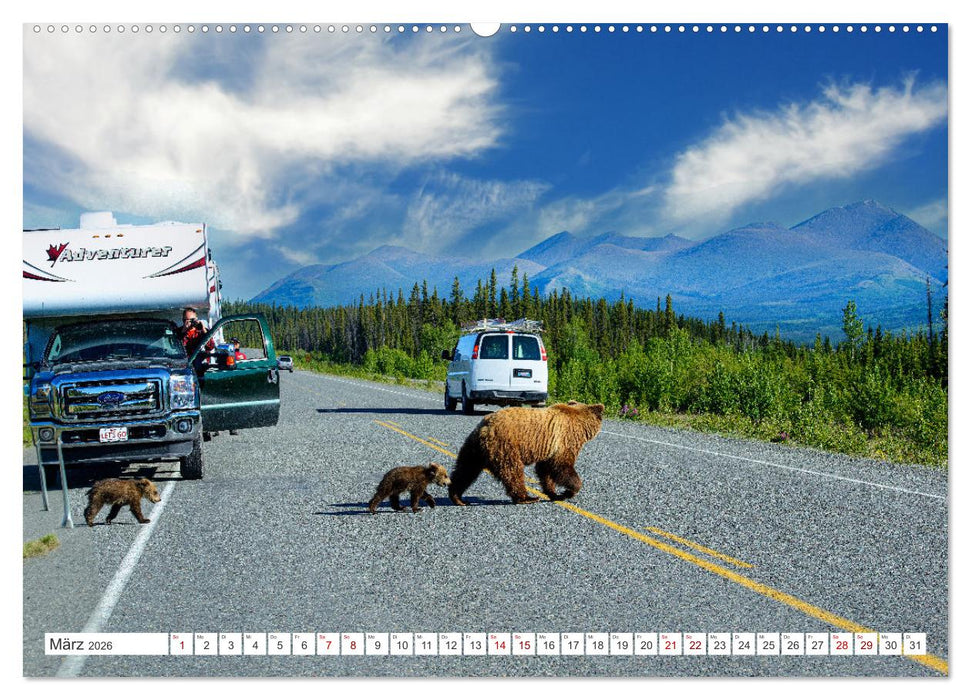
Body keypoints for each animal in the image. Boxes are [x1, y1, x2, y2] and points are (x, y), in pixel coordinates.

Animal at [449, 401, 605, 506]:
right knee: (513, 472)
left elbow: (545, 470)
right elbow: (562, 466)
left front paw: (553, 493)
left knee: (466, 469)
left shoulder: (549, 447)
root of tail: (485, 427)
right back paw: (527, 498)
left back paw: (457, 497)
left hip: (474, 449)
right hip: (506, 446)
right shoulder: (565, 440)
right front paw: (569, 491)